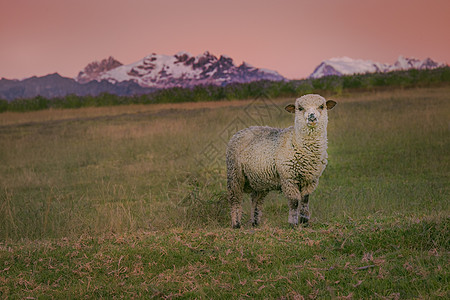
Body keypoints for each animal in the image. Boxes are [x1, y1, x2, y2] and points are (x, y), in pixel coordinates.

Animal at [227, 95, 336, 229]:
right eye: (300, 108)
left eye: (321, 106)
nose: (312, 117)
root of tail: (243, 130)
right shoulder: (288, 178)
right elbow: (294, 202)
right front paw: (293, 224)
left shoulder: (310, 179)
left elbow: (305, 200)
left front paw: (304, 222)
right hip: (234, 174)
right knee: (235, 199)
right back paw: (236, 224)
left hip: (259, 180)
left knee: (256, 200)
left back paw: (255, 223)